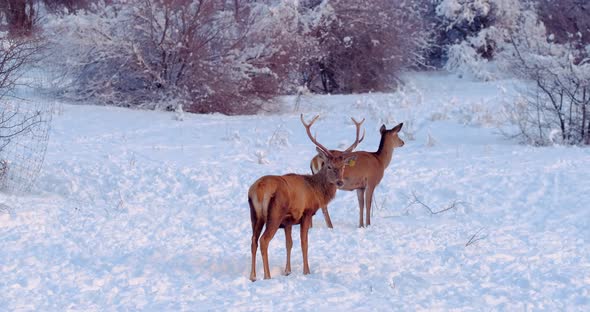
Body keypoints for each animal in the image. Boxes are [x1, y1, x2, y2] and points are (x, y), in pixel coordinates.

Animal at [247, 114, 358, 280]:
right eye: (329, 166)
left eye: (343, 166)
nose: (340, 182)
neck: (315, 191)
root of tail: (259, 189)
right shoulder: (306, 213)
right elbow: (304, 243)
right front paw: (307, 271)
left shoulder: (287, 222)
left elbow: (289, 244)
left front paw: (287, 271)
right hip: (274, 214)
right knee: (264, 240)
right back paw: (267, 276)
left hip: (255, 215)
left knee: (253, 240)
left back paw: (252, 276)